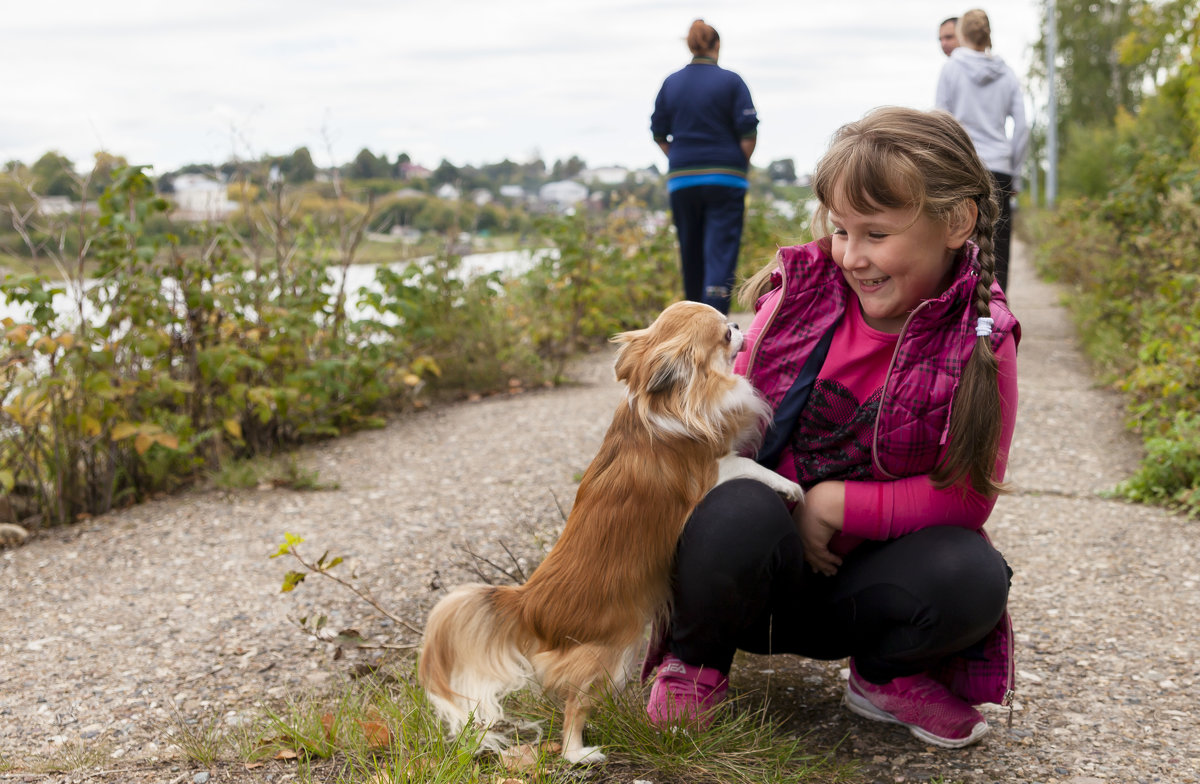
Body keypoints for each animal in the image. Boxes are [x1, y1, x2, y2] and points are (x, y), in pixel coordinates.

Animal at [417, 301, 801, 763]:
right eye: (725, 335)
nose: (740, 324)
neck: (668, 402)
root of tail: (529, 603)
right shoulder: (713, 473)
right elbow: (751, 466)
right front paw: (791, 485)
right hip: (612, 652)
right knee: (574, 705)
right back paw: (580, 753)